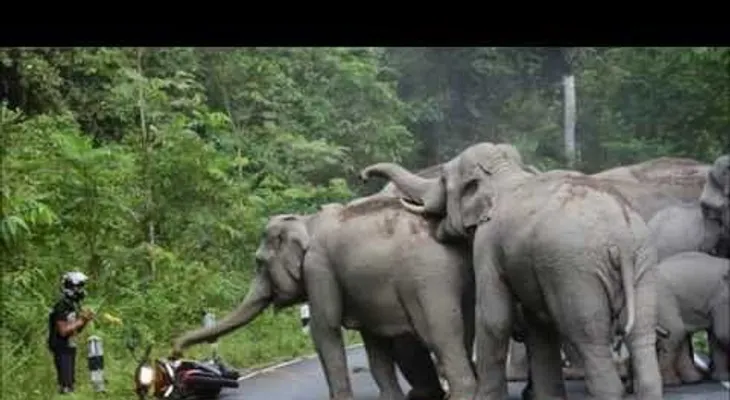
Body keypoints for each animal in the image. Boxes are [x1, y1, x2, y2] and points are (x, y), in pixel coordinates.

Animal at [171, 195, 477, 400]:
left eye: (259, 263)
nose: (175, 353)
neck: (305, 221)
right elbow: (374, 342)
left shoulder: (318, 269)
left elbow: (324, 328)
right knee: (465, 332)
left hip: (428, 278)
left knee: (441, 336)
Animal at [361, 142, 664, 400]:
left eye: (444, 180)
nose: (363, 176)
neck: (505, 174)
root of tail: (619, 238)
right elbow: (538, 325)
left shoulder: (488, 243)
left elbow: (494, 318)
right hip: (642, 262)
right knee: (642, 335)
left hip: (576, 271)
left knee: (588, 338)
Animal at [653, 251, 730, 385]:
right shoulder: (723, 299)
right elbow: (723, 333)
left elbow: (716, 335)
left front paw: (722, 378)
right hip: (663, 299)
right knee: (675, 332)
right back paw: (671, 382)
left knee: (680, 334)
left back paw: (693, 379)